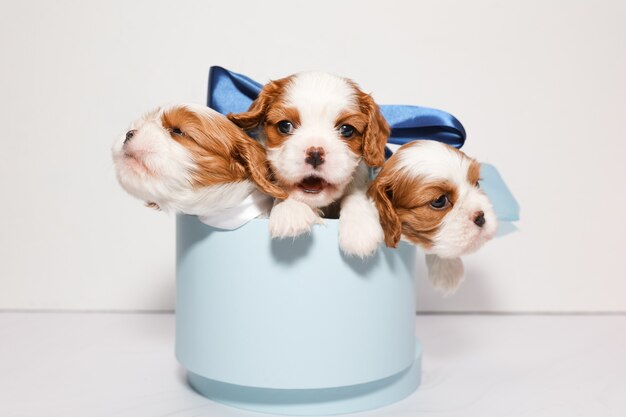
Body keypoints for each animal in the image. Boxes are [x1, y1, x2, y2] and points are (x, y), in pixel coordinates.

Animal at [227, 70, 388, 256]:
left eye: (347, 130)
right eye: (285, 126)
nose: (315, 153)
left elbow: (356, 194)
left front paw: (360, 229)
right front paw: (291, 210)